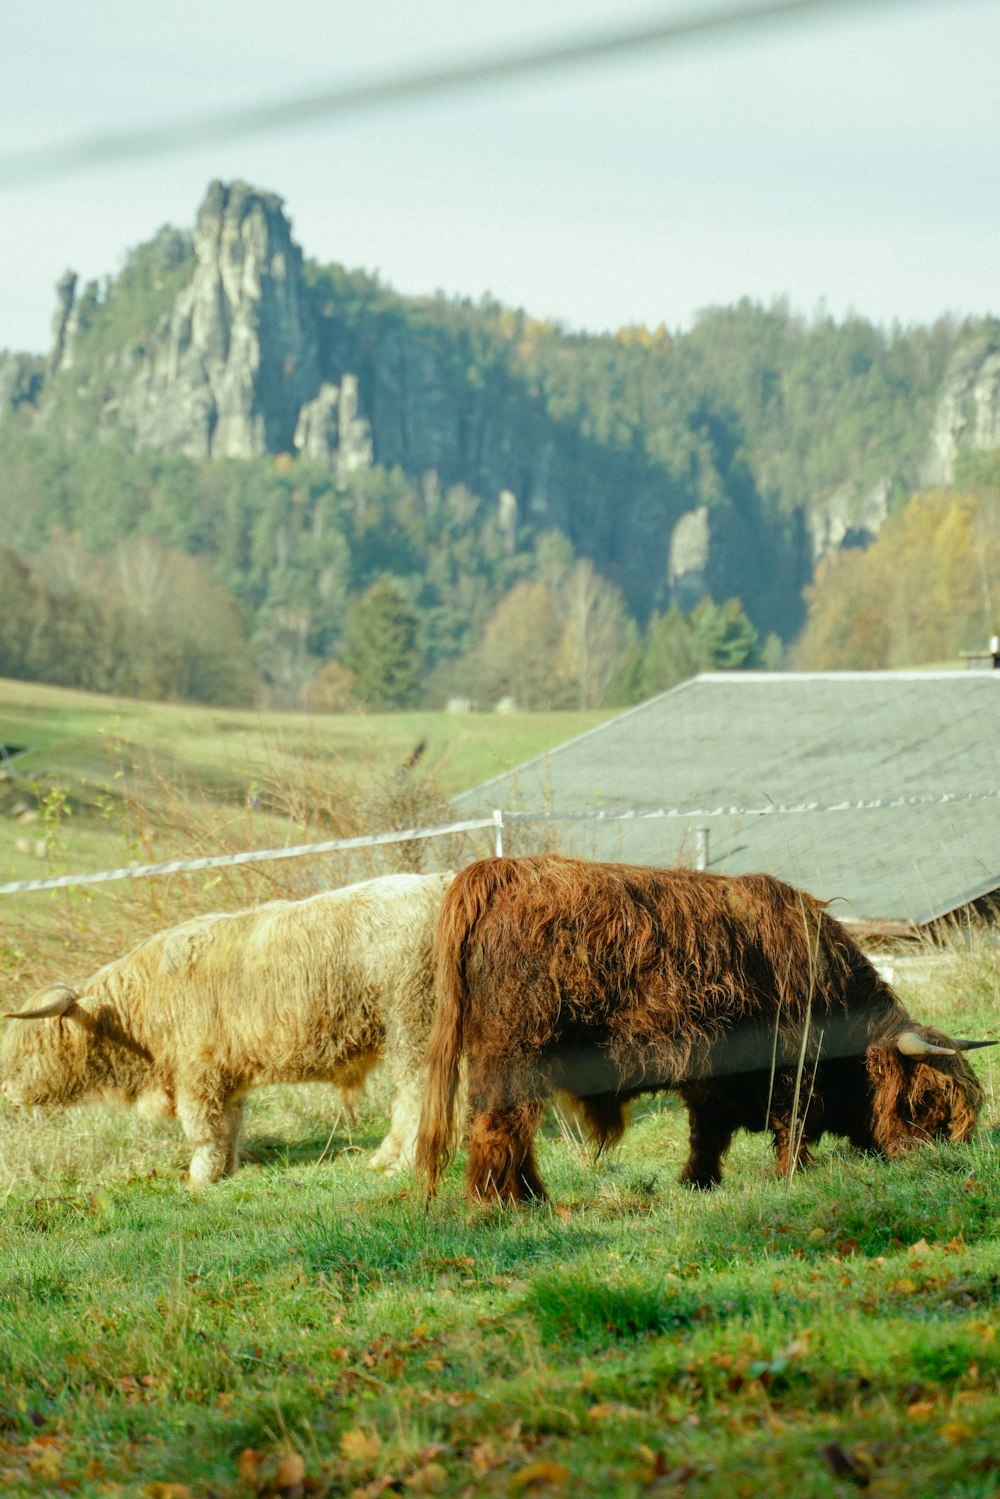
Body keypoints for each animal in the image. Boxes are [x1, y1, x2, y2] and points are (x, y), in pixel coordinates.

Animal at [0, 869, 452, 1181]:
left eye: (30, 1043)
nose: (6, 1088)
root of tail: (439, 883)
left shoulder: (197, 1073)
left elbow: (204, 1128)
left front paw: (198, 1179)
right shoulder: (225, 1074)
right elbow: (229, 1125)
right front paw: (226, 1171)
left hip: (412, 1027)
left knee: (416, 1096)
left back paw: (399, 1162)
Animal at [416, 857, 995, 1205]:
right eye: (924, 1101)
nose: (938, 1159)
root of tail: (497, 870)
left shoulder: (710, 1073)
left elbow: (707, 1135)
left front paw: (699, 1184)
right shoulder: (788, 1065)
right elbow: (792, 1123)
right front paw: (791, 1174)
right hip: (515, 1053)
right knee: (499, 1126)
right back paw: (512, 1202)